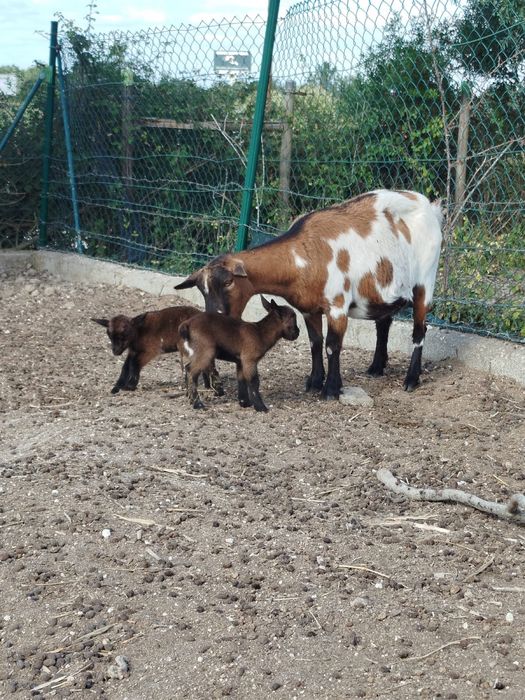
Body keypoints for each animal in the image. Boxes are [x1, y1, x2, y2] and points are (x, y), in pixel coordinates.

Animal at [91, 306, 224, 396]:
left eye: (124, 335)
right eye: (109, 336)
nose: (115, 351)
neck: (139, 332)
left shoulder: (150, 350)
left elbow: (135, 364)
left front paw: (130, 385)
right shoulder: (133, 351)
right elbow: (126, 367)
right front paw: (116, 388)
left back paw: (216, 391)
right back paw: (208, 386)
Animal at [175, 190, 443, 398]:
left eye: (229, 282)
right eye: (201, 289)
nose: (213, 317)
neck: (304, 255)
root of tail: (429, 206)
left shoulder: (337, 306)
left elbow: (332, 345)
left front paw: (330, 390)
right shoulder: (308, 309)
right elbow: (315, 343)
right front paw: (315, 382)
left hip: (425, 282)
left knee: (420, 330)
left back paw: (411, 380)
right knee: (384, 322)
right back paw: (376, 367)